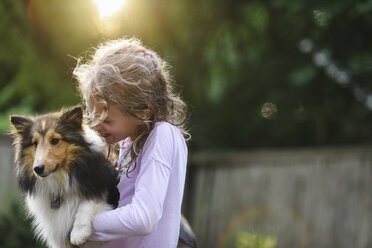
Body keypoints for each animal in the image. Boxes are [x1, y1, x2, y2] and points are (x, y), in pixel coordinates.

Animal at [9, 105, 119, 248]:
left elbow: (89, 201)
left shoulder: (103, 192)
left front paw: (79, 232)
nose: (38, 169)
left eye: (55, 140)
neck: (59, 180)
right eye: (35, 143)